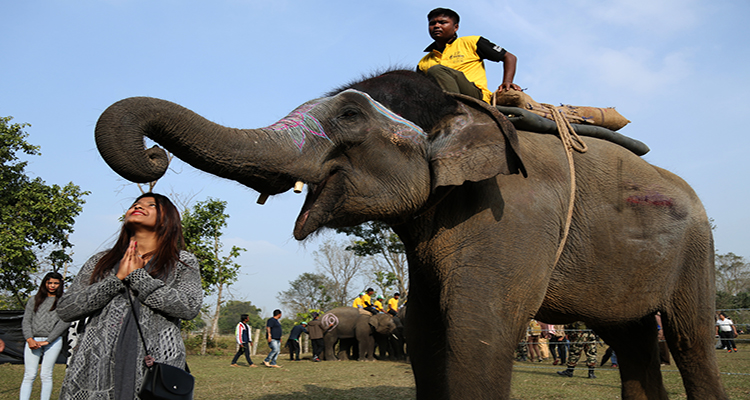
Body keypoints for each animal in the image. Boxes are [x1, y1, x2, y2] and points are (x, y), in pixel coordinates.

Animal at [92, 69, 728, 400]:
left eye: (351, 116)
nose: (153, 159)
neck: (461, 107)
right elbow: (424, 336)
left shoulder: (511, 218)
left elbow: (477, 335)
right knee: (634, 341)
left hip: (698, 250)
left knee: (690, 340)